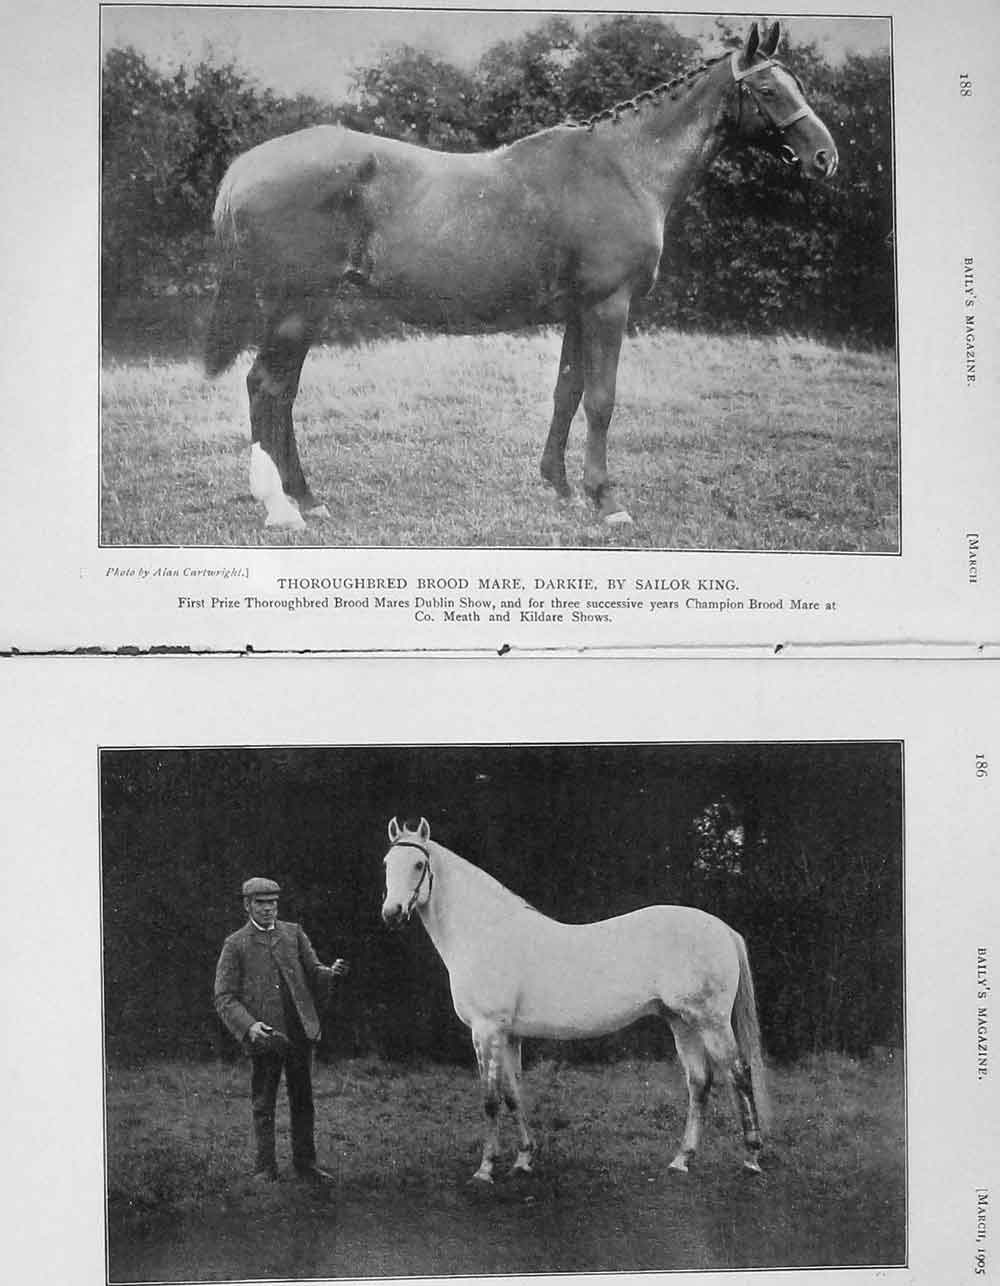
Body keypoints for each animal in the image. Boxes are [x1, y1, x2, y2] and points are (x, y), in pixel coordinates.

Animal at [205, 20, 837, 532]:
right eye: (768, 90)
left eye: (797, 85)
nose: (826, 158)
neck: (624, 169)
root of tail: (245, 166)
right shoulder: (609, 305)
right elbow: (602, 399)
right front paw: (608, 501)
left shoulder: (580, 310)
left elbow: (567, 392)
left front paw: (562, 488)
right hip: (298, 304)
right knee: (266, 387)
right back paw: (282, 508)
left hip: (304, 308)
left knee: (282, 392)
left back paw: (308, 500)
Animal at [380, 818, 768, 1182]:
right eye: (386, 862)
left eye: (418, 864)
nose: (391, 912)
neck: (486, 934)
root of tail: (722, 928)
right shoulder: (509, 1035)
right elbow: (513, 1094)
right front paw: (523, 1160)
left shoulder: (486, 1030)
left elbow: (490, 1099)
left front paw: (485, 1168)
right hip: (681, 1022)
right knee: (700, 1082)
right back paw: (681, 1160)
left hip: (711, 1022)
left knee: (738, 1073)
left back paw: (751, 1158)